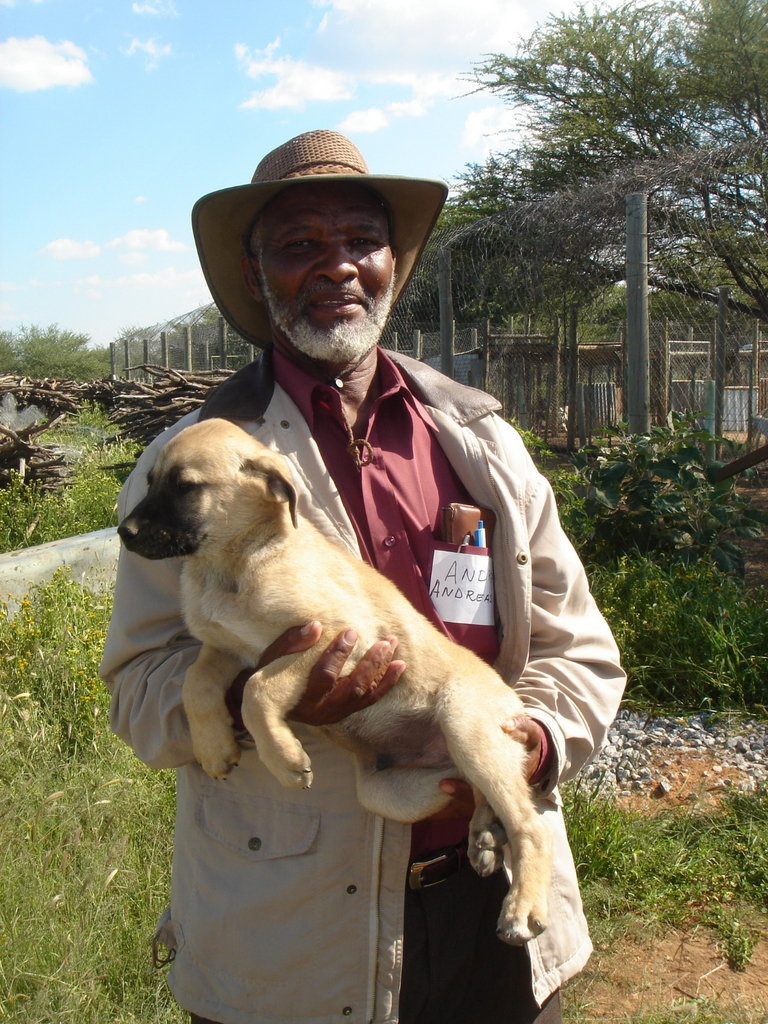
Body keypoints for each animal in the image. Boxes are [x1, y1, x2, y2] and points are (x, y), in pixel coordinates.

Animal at [118, 415, 552, 942]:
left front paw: (285, 758)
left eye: (185, 487)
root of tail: (511, 700)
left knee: (530, 823)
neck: (235, 563)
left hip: (466, 726)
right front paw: (214, 747)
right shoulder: (225, 649)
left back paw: (523, 906)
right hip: (394, 791)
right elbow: (195, 686)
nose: (124, 532)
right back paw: (485, 834)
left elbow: (259, 690)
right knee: (481, 794)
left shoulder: (335, 635)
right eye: (150, 481)